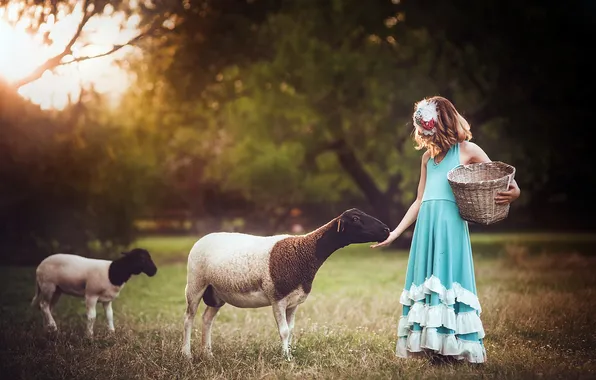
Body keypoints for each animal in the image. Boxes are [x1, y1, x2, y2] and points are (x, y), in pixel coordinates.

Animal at [182, 208, 392, 360]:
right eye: (356, 218)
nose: (386, 230)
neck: (304, 252)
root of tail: (203, 238)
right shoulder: (278, 299)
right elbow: (283, 331)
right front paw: (286, 359)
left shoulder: (293, 302)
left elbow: (290, 331)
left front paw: (290, 353)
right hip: (195, 283)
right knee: (189, 318)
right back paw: (187, 354)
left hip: (217, 293)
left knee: (207, 319)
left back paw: (208, 354)